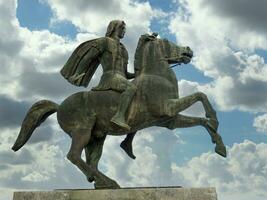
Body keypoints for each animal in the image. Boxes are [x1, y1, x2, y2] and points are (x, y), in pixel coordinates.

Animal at [12, 33, 226, 188]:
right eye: (167, 41)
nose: (188, 50)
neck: (157, 76)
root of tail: (59, 106)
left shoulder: (169, 120)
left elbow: (201, 120)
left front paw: (220, 146)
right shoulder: (167, 107)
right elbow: (200, 95)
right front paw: (214, 120)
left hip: (97, 137)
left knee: (91, 161)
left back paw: (103, 180)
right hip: (82, 131)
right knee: (74, 155)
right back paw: (108, 181)